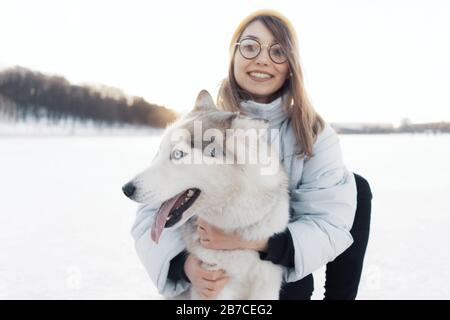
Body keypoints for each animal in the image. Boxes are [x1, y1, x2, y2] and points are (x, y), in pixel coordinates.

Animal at [122, 90, 288, 300]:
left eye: (178, 154)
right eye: (159, 151)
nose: (126, 189)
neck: (235, 227)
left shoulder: (267, 285)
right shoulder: (214, 284)